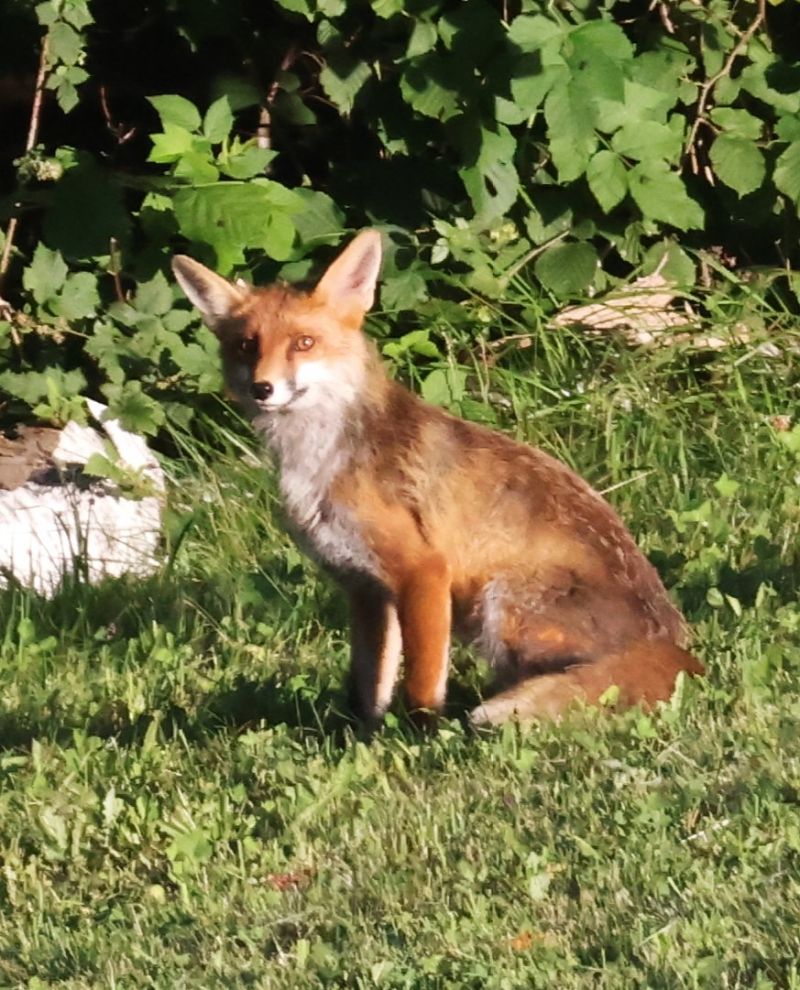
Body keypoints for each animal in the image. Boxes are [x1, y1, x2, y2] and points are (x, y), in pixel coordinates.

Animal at [172, 230, 703, 727]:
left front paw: (420, 734)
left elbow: (422, 680)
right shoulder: (365, 588)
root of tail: (676, 650)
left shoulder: (423, 572)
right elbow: (369, 683)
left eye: (304, 343)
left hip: (499, 603)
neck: (318, 459)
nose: (263, 388)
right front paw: (361, 736)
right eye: (247, 346)